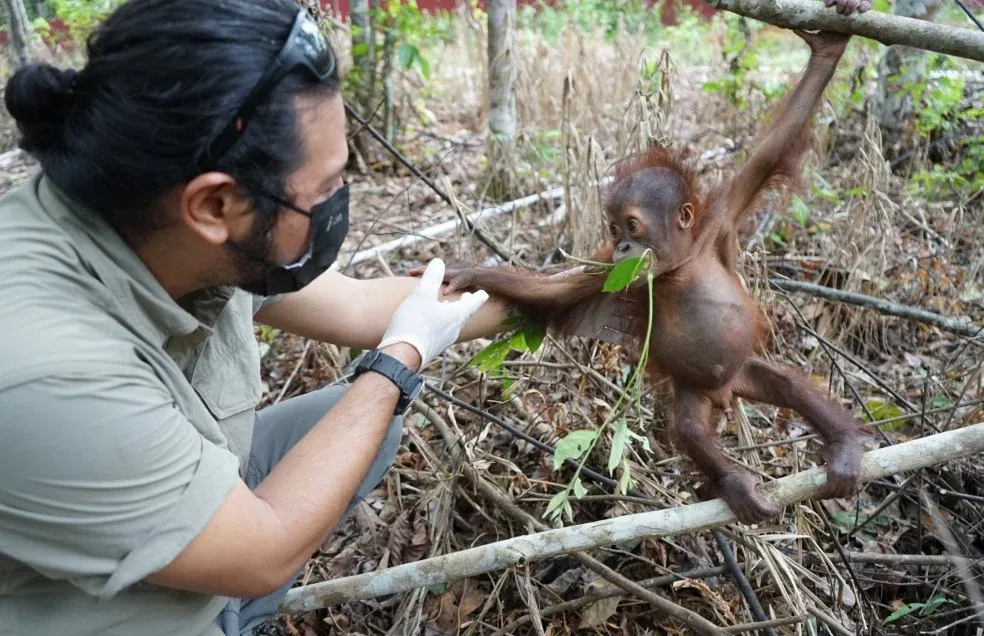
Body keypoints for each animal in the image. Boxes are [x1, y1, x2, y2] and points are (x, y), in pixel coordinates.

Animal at [423, 29, 871, 524]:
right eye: (613, 230)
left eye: (631, 226)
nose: (622, 247)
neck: (679, 265)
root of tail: (727, 391)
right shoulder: (609, 274)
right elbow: (554, 290)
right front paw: (468, 273)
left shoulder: (720, 216)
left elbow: (772, 148)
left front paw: (828, 48)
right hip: (696, 390)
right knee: (689, 428)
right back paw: (736, 483)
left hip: (743, 369)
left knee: (788, 384)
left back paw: (844, 446)